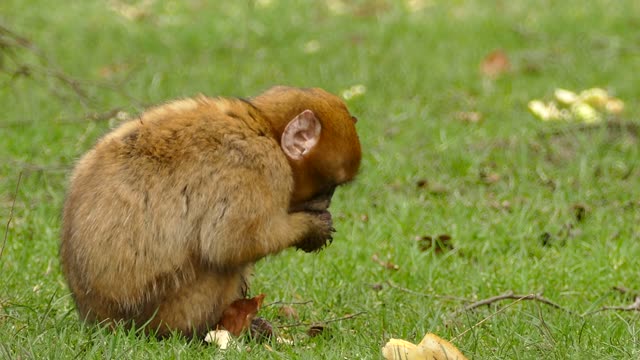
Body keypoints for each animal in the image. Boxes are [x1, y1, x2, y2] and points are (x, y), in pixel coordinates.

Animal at [59, 86, 362, 338]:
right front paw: (312, 227)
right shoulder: (258, 165)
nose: (327, 203)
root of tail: (97, 318)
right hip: (169, 310)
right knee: (219, 263)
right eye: (329, 188)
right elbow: (230, 243)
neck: (265, 127)